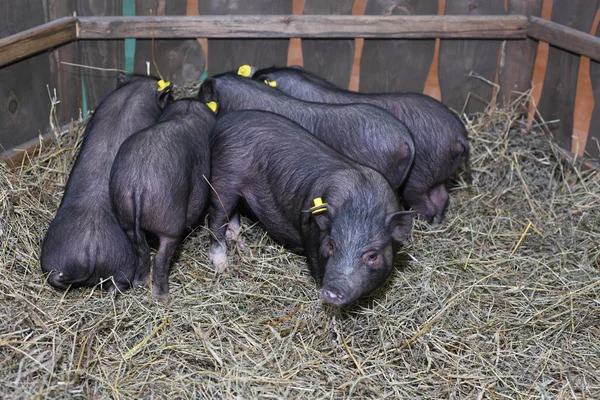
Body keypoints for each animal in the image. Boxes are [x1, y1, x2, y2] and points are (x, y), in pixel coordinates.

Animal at [109, 98, 216, 302]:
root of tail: (138, 183)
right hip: (170, 223)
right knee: (160, 257)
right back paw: (162, 297)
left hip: (125, 215)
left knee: (141, 250)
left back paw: (141, 282)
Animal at [207, 111, 412, 308]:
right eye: (331, 245)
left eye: (372, 255)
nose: (333, 290)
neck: (362, 202)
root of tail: (223, 123)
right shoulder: (310, 234)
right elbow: (314, 261)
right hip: (223, 178)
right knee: (217, 218)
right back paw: (223, 266)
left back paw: (239, 243)